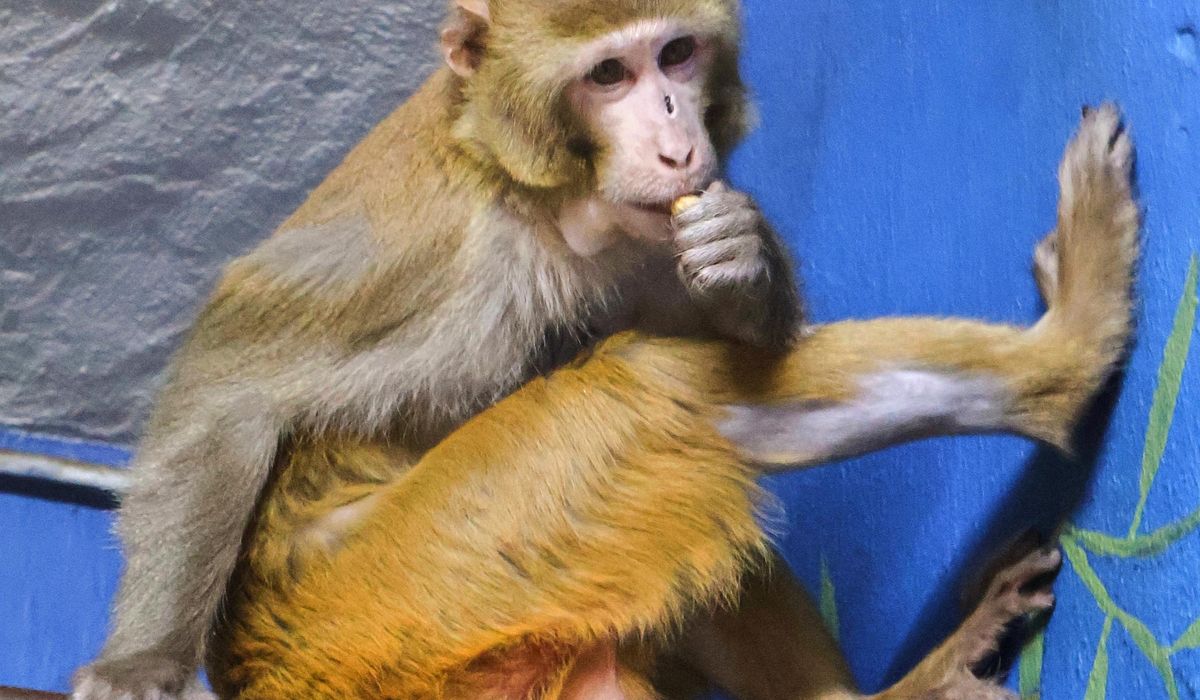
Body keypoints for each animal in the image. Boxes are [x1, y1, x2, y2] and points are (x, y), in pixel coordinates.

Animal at [73, 1, 806, 697]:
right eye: (608, 74)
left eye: (677, 53)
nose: (677, 143)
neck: (537, 197)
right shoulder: (433, 256)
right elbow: (227, 386)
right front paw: (143, 661)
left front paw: (741, 256)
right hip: (361, 597)